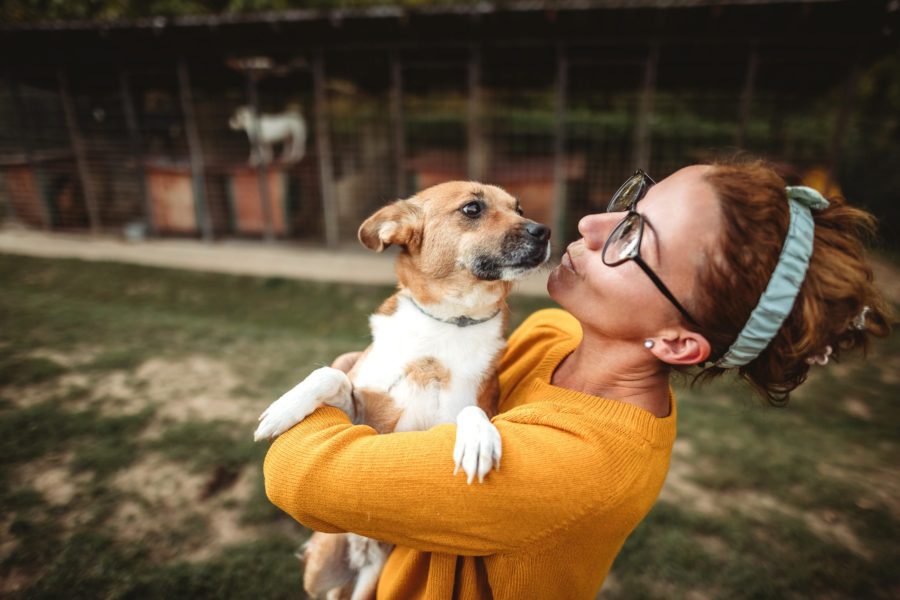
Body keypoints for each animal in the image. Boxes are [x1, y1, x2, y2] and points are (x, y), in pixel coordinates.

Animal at [251, 180, 548, 600]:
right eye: (472, 209)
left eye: (519, 208)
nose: (544, 232)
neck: (450, 321)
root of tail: (361, 549)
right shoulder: (365, 417)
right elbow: (331, 376)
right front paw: (283, 407)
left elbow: (471, 410)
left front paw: (477, 439)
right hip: (319, 568)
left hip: (371, 575)